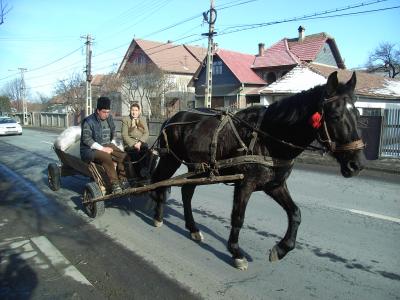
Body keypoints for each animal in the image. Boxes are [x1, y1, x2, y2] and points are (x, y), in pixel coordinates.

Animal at [150, 72, 366, 270]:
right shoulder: (245, 184)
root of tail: (172, 118)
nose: (357, 165)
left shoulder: (275, 185)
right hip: (170, 160)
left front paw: (281, 248)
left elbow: (295, 213)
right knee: (160, 183)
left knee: (186, 192)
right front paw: (236, 252)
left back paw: (193, 229)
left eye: (358, 115)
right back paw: (158, 217)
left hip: (198, 169)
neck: (267, 137)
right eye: (335, 116)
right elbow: (238, 217)